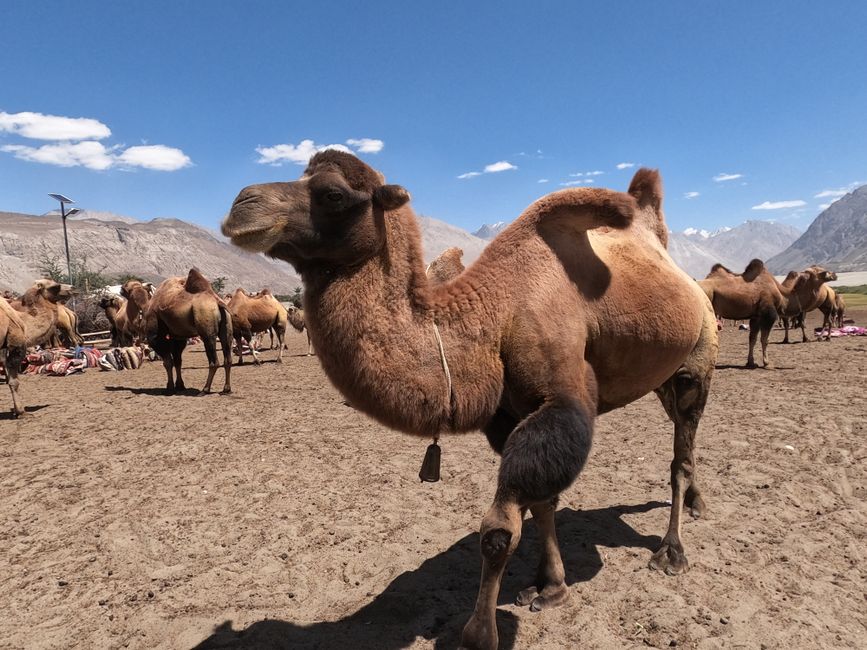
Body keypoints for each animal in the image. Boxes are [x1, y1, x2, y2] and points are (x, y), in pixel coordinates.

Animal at [222, 150, 719, 650]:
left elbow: (499, 529)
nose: (241, 205)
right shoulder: (507, 417)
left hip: (697, 361)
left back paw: (671, 552)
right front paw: (550, 586)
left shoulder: (564, 399)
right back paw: (696, 504)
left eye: (332, 193)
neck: (493, 318)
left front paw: (480, 634)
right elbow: (542, 502)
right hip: (661, 376)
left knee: (681, 453)